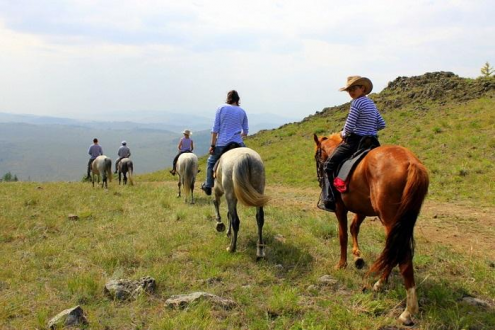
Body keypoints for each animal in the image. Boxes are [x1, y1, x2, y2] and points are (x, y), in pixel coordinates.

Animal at [316, 133, 428, 324]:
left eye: (317, 156)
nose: (319, 177)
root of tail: (412, 163)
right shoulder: (362, 209)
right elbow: (354, 228)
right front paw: (357, 256)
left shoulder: (340, 208)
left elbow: (342, 235)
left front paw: (342, 264)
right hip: (402, 221)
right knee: (394, 250)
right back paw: (380, 283)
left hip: (390, 219)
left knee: (401, 254)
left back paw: (408, 310)